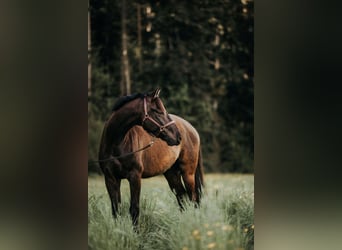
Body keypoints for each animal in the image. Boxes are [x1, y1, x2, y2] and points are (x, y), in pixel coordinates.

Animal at [99, 89, 206, 226]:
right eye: (157, 111)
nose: (178, 137)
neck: (116, 143)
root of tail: (191, 129)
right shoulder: (111, 178)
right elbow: (116, 210)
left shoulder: (135, 177)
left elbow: (134, 209)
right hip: (171, 174)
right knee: (182, 198)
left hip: (188, 173)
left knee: (193, 199)